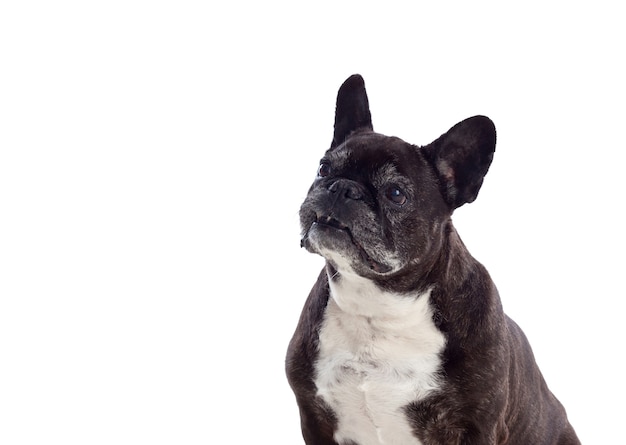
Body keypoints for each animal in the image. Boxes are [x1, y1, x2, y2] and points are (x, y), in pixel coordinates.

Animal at [286, 74, 576, 442]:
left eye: (396, 193)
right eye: (323, 168)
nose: (342, 188)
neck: (378, 306)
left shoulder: (475, 427)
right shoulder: (313, 417)